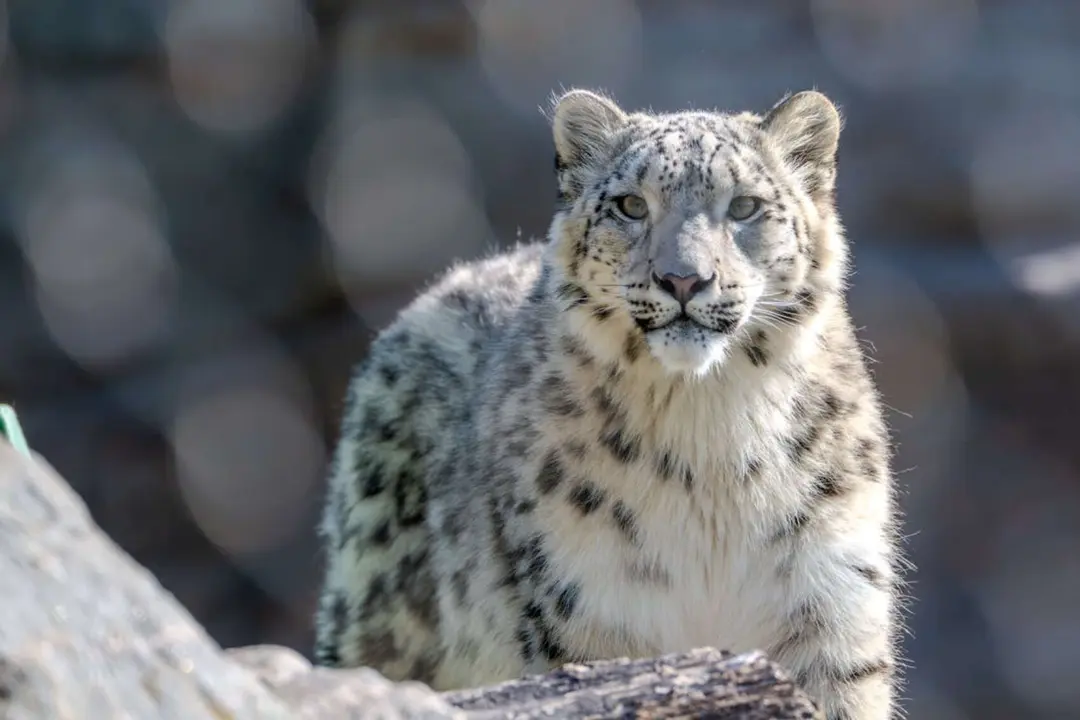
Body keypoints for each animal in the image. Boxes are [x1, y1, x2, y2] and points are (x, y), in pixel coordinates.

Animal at [313, 88, 907, 720]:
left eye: (745, 205)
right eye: (630, 205)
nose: (683, 280)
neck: (710, 432)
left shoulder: (831, 594)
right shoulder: (589, 600)